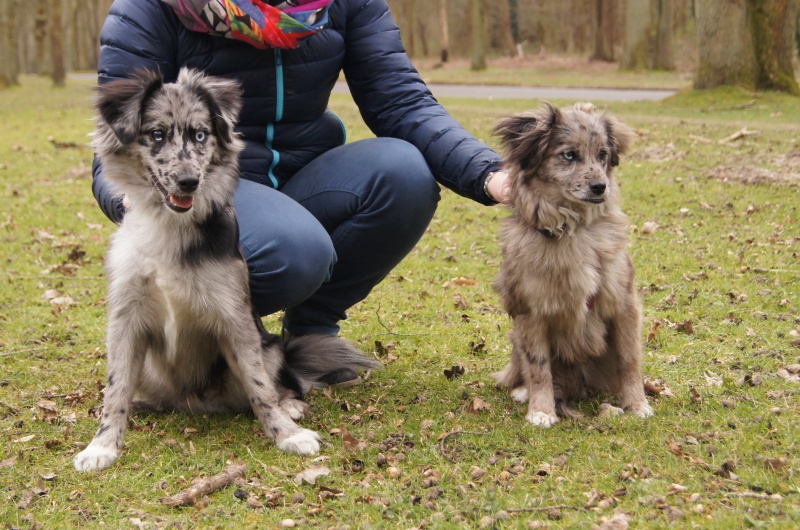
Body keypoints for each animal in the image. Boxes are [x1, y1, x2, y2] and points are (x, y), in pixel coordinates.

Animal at [73, 69, 376, 470]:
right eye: (157, 134)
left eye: (201, 135)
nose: (189, 181)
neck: (170, 223)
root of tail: (196, 403)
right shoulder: (125, 321)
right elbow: (115, 387)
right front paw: (103, 445)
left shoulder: (234, 317)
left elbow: (259, 387)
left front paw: (287, 435)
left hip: (271, 348)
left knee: (282, 385)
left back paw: (291, 406)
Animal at [490, 103, 652, 424]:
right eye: (569, 155)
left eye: (602, 154)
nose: (600, 186)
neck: (574, 228)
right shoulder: (530, 310)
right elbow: (538, 365)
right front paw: (541, 410)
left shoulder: (624, 302)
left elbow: (630, 358)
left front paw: (637, 403)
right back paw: (524, 391)